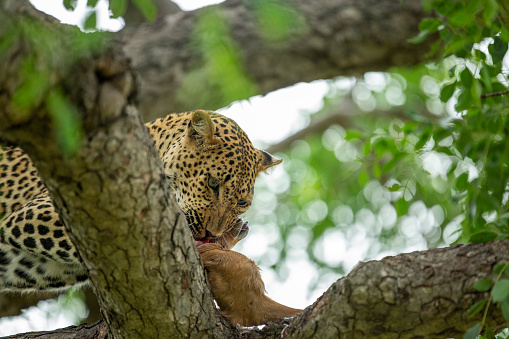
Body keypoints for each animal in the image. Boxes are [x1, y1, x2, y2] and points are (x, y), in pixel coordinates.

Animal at [0, 111, 300, 326]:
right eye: (213, 184)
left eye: (241, 203)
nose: (211, 233)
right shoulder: (35, 214)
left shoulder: (43, 264)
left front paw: (224, 240)